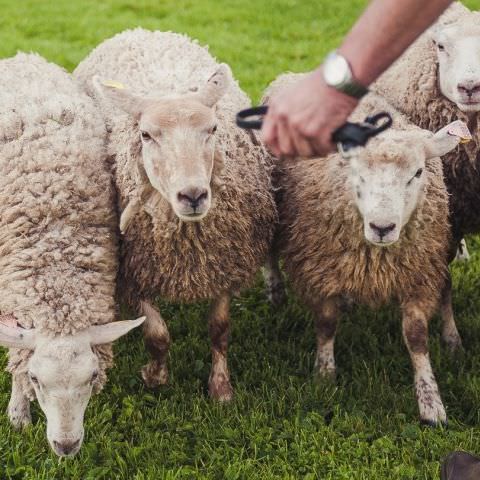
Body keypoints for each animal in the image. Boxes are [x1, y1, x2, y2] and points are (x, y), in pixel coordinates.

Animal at [72, 28, 276, 400]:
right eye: (146, 134)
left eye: (213, 130)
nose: (193, 195)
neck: (187, 240)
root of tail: (143, 30)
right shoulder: (135, 269)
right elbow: (157, 334)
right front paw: (155, 376)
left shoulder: (225, 262)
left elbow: (219, 328)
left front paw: (220, 387)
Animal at [262, 71, 468, 424]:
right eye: (353, 170)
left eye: (417, 172)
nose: (382, 227)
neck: (377, 257)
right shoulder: (322, 270)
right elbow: (326, 323)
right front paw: (324, 374)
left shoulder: (418, 273)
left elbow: (416, 337)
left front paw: (431, 402)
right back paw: (276, 291)